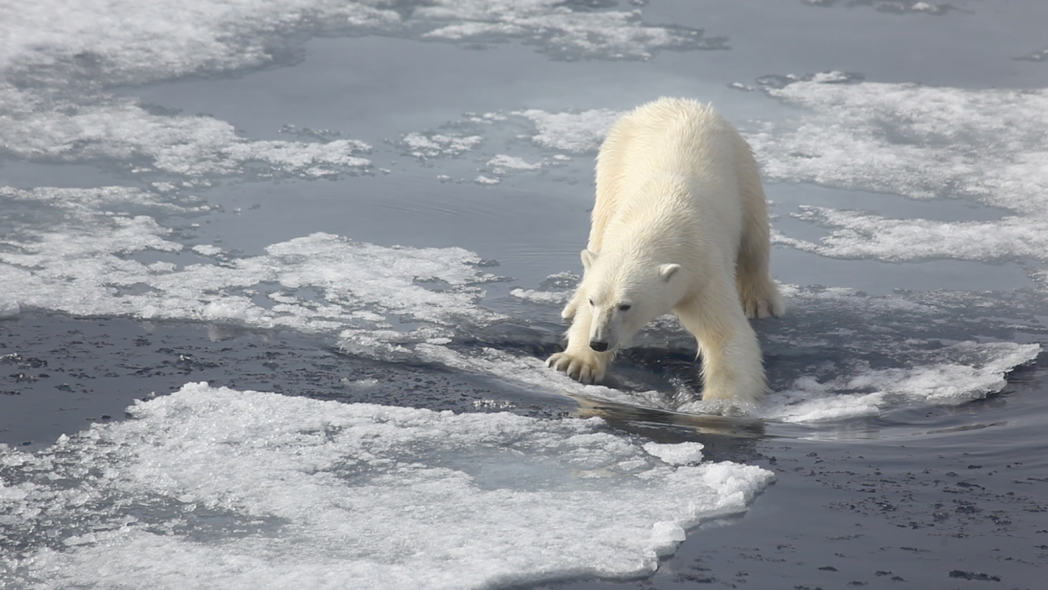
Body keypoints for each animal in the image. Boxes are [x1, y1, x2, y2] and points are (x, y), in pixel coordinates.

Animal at [544, 97, 783, 406]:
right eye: (594, 301)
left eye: (625, 305)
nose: (599, 342)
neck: (659, 214)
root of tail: (673, 101)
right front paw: (574, 362)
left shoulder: (703, 268)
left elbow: (725, 332)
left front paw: (722, 402)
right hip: (612, 163)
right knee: (596, 233)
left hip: (742, 163)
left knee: (755, 239)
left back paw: (760, 302)